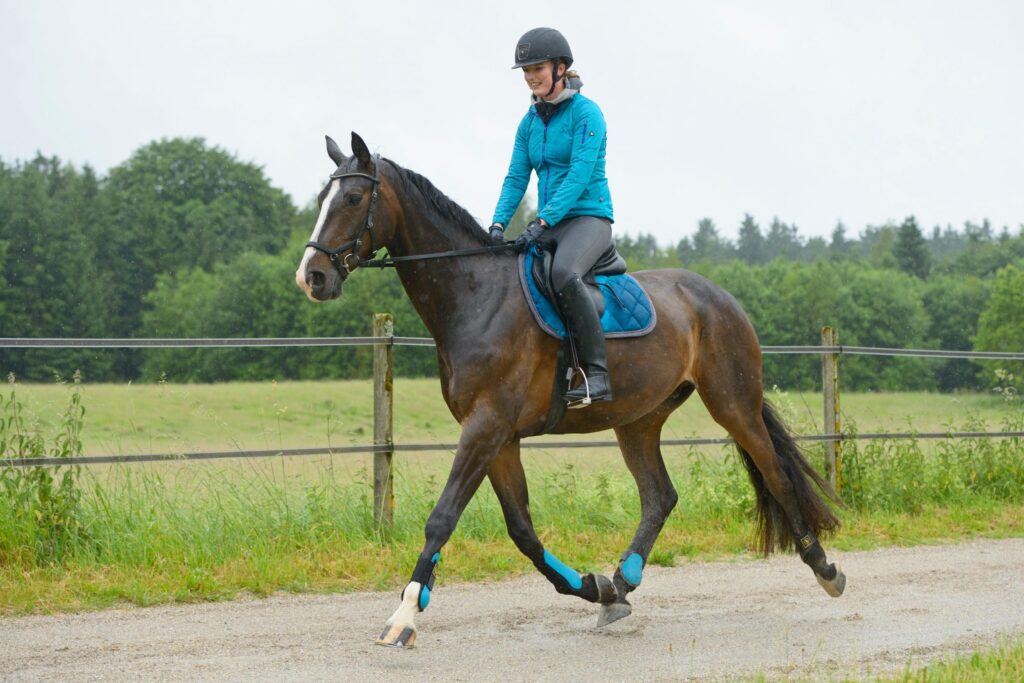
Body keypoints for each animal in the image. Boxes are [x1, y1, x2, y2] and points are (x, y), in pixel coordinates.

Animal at [292, 132, 843, 647]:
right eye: (322, 197)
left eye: (353, 198)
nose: (311, 277)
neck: (475, 295)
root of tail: (720, 297)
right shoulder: (499, 438)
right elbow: (522, 531)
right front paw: (594, 587)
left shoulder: (486, 427)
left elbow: (443, 516)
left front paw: (404, 616)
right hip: (639, 420)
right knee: (660, 496)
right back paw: (622, 584)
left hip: (733, 404)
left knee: (776, 475)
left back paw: (825, 568)